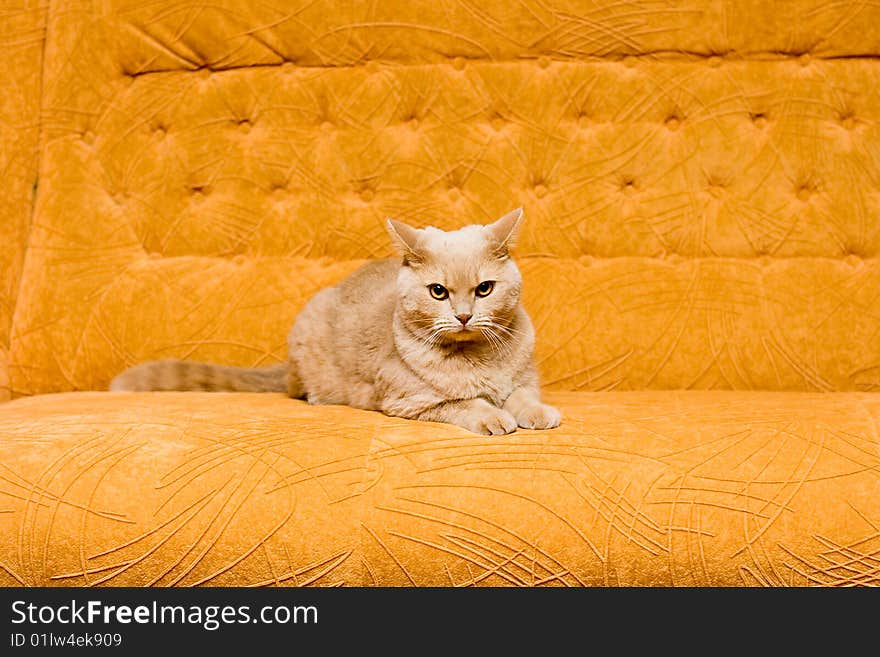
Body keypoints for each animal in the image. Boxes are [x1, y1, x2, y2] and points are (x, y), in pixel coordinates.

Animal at [110, 209, 560, 436]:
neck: (478, 359)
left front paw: (537, 413)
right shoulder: (408, 400)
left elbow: (522, 396)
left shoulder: (522, 378)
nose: (464, 315)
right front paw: (494, 417)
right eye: (438, 292)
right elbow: (463, 402)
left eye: (484, 289)